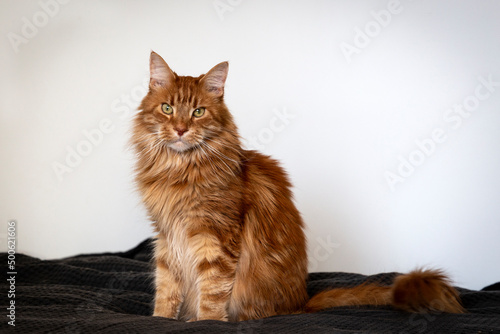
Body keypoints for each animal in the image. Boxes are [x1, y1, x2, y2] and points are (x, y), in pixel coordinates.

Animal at [130, 51, 464, 320]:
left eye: (198, 112)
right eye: (167, 109)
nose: (180, 129)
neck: (177, 170)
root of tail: (301, 304)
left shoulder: (216, 236)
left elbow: (212, 293)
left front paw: (205, 323)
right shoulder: (166, 235)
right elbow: (166, 288)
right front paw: (161, 320)